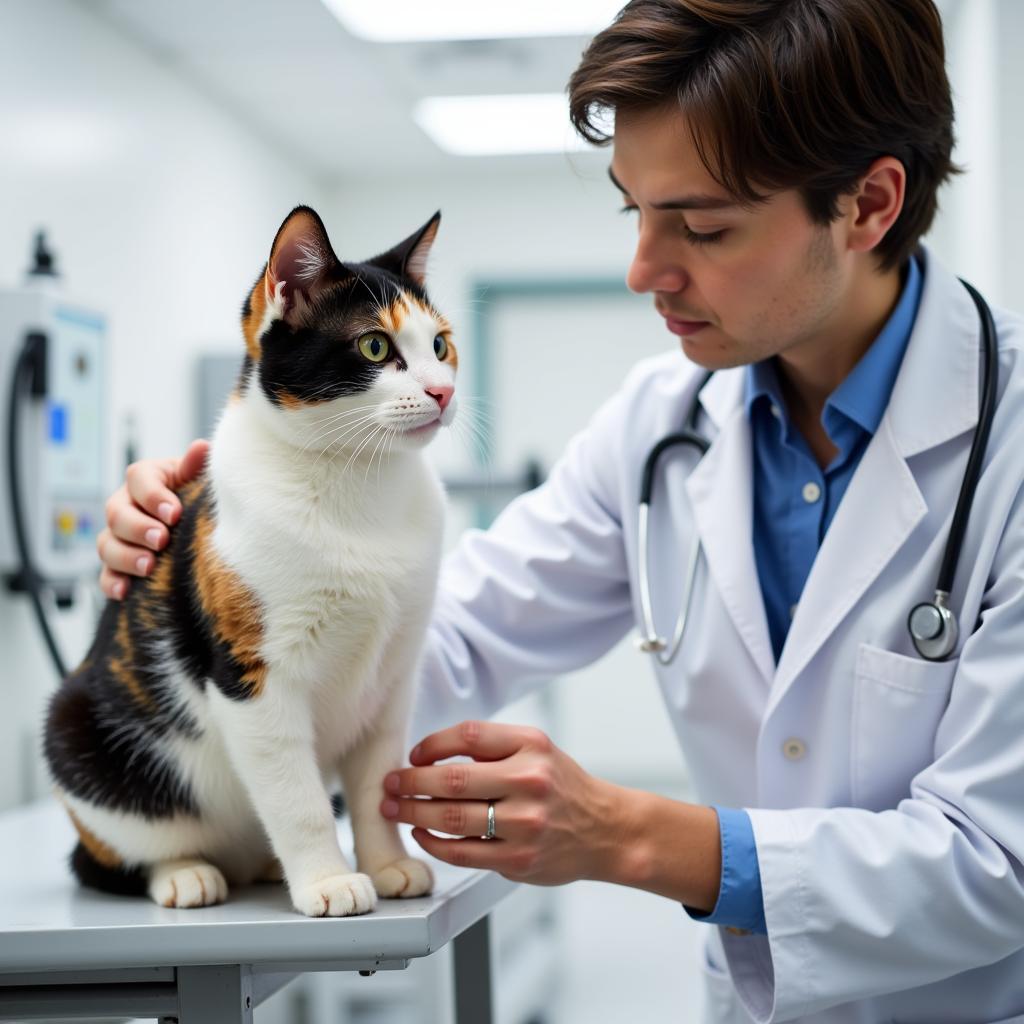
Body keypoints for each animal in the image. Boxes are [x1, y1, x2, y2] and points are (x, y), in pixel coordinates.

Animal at [40, 203, 456, 917]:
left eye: (438, 345)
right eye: (375, 346)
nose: (442, 392)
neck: (359, 483)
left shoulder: (393, 680)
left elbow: (376, 785)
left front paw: (387, 865)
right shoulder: (253, 675)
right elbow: (299, 800)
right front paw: (328, 881)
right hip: (78, 734)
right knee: (113, 854)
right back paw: (186, 873)